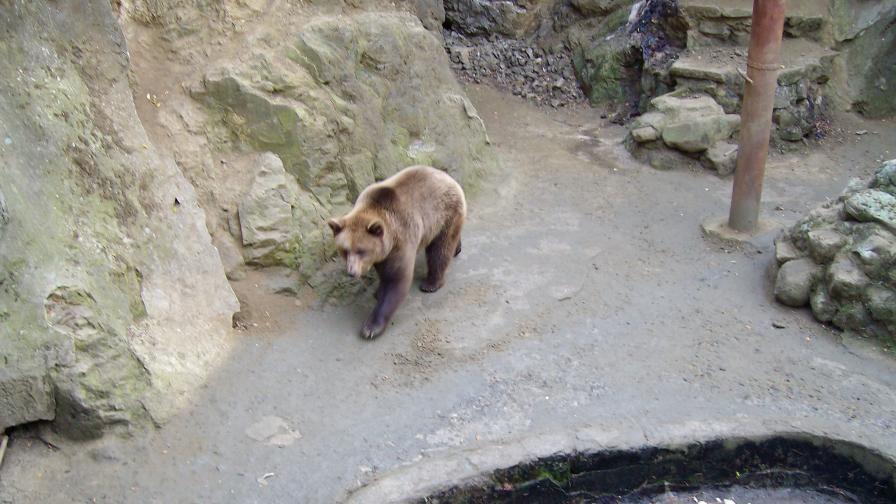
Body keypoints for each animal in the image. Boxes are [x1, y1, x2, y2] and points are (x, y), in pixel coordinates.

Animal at [328, 165, 468, 338]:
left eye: (361, 250)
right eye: (345, 250)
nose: (351, 272)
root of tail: (447, 177)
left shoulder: (401, 239)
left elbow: (396, 279)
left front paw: (371, 327)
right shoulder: (383, 252)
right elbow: (383, 273)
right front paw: (378, 291)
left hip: (443, 213)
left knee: (439, 249)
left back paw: (431, 283)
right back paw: (457, 248)